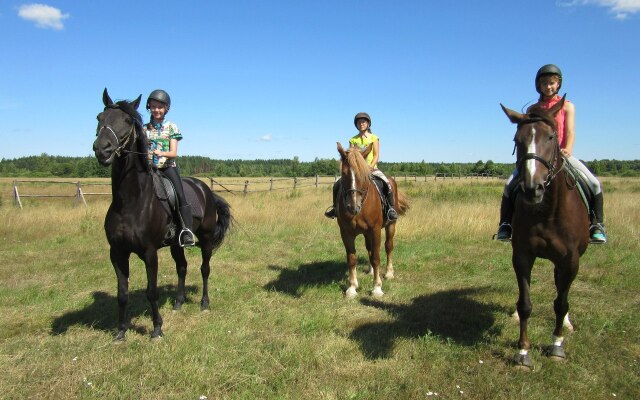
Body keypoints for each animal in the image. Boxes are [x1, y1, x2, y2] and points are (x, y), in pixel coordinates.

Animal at [92, 88, 232, 340]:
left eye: (127, 121)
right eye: (100, 117)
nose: (102, 149)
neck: (130, 202)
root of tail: (205, 188)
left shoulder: (149, 253)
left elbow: (152, 292)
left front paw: (157, 329)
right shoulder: (117, 253)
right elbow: (122, 293)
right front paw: (121, 331)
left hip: (206, 240)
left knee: (204, 269)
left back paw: (204, 303)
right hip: (176, 243)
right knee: (182, 267)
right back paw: (178, 302)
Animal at [332, 143, 408, 296]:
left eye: (364, 175)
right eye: (343, 173)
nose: (353, 207)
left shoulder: (375, 230)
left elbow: (376, 257)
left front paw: (377, 287)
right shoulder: (346, 232)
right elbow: (352, 259)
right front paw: (352, 287)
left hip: (391, 225)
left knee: (388, 246)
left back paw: (389, 273)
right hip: (366, 233)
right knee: (369, 248)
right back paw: (371, 271)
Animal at [500, 94, 592, 368]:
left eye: (551, 137)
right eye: (517, 140)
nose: (532, 188)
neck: (546, 211)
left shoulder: (570, 260)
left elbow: (561, 303)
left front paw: (557, 345)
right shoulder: (522, 256)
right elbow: (525, 304)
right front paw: (522, 353)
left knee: (561, 289)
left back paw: (567, 324)